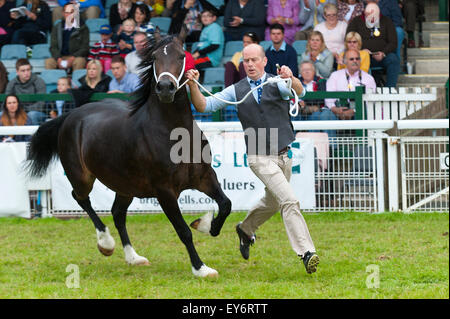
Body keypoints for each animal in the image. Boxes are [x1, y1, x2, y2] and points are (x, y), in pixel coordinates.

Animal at [25, 30, 232, 280]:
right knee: (81, 198)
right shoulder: (165, 191)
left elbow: (226, 204)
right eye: (154, 57)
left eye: (182, 56)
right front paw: (201, 268)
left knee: (117, 213)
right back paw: (106, 244)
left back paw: (134, 257)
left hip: (125, 185)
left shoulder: (204, 177)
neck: (173, 133)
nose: (165, 88)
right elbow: (183, 230)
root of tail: (70, 116)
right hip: (82, 177)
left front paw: (206, 225)